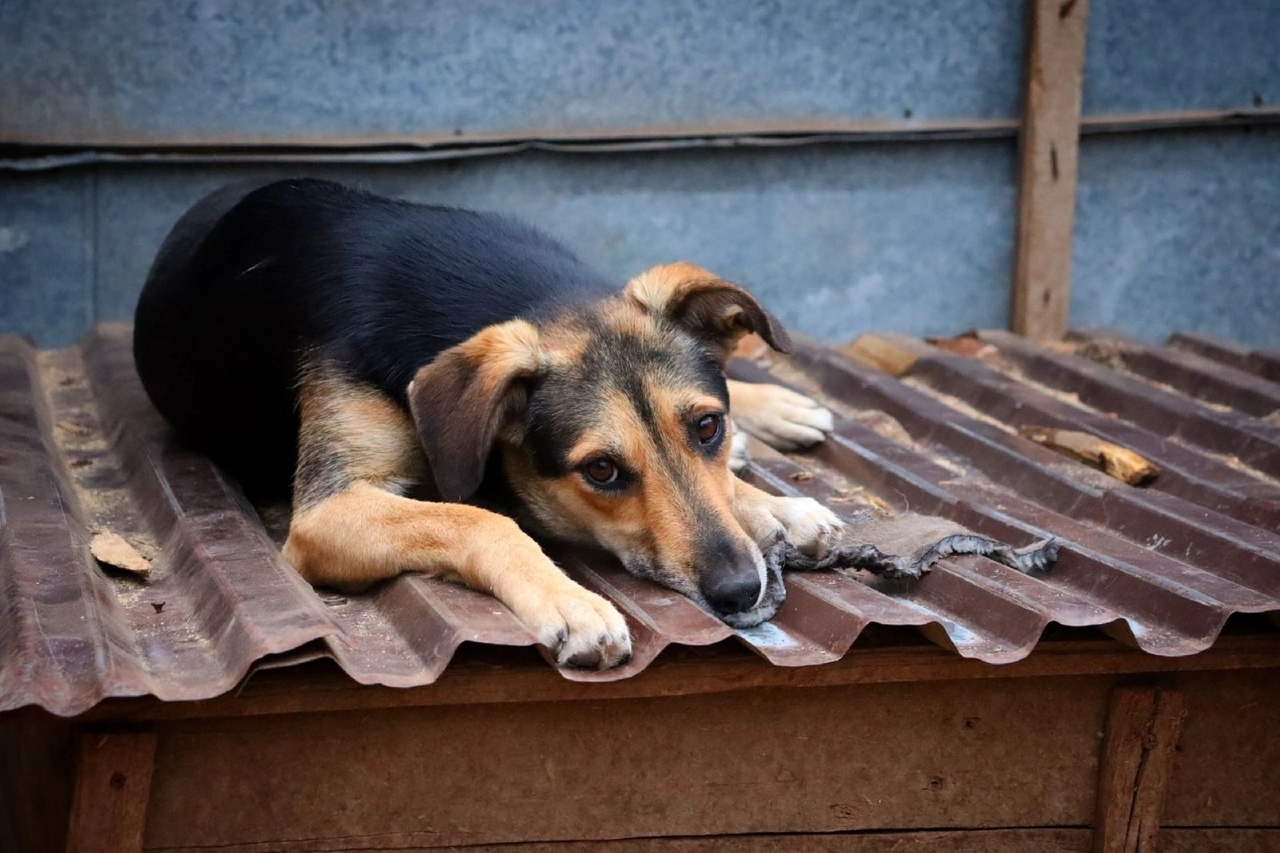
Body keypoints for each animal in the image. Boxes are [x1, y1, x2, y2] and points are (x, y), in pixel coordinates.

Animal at [135, 179, 839, 666]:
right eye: (601, 471)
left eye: (706, 428)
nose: (741, 591)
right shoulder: (326, 513)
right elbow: (481, 519)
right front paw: (570, 599)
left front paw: (774, 505)